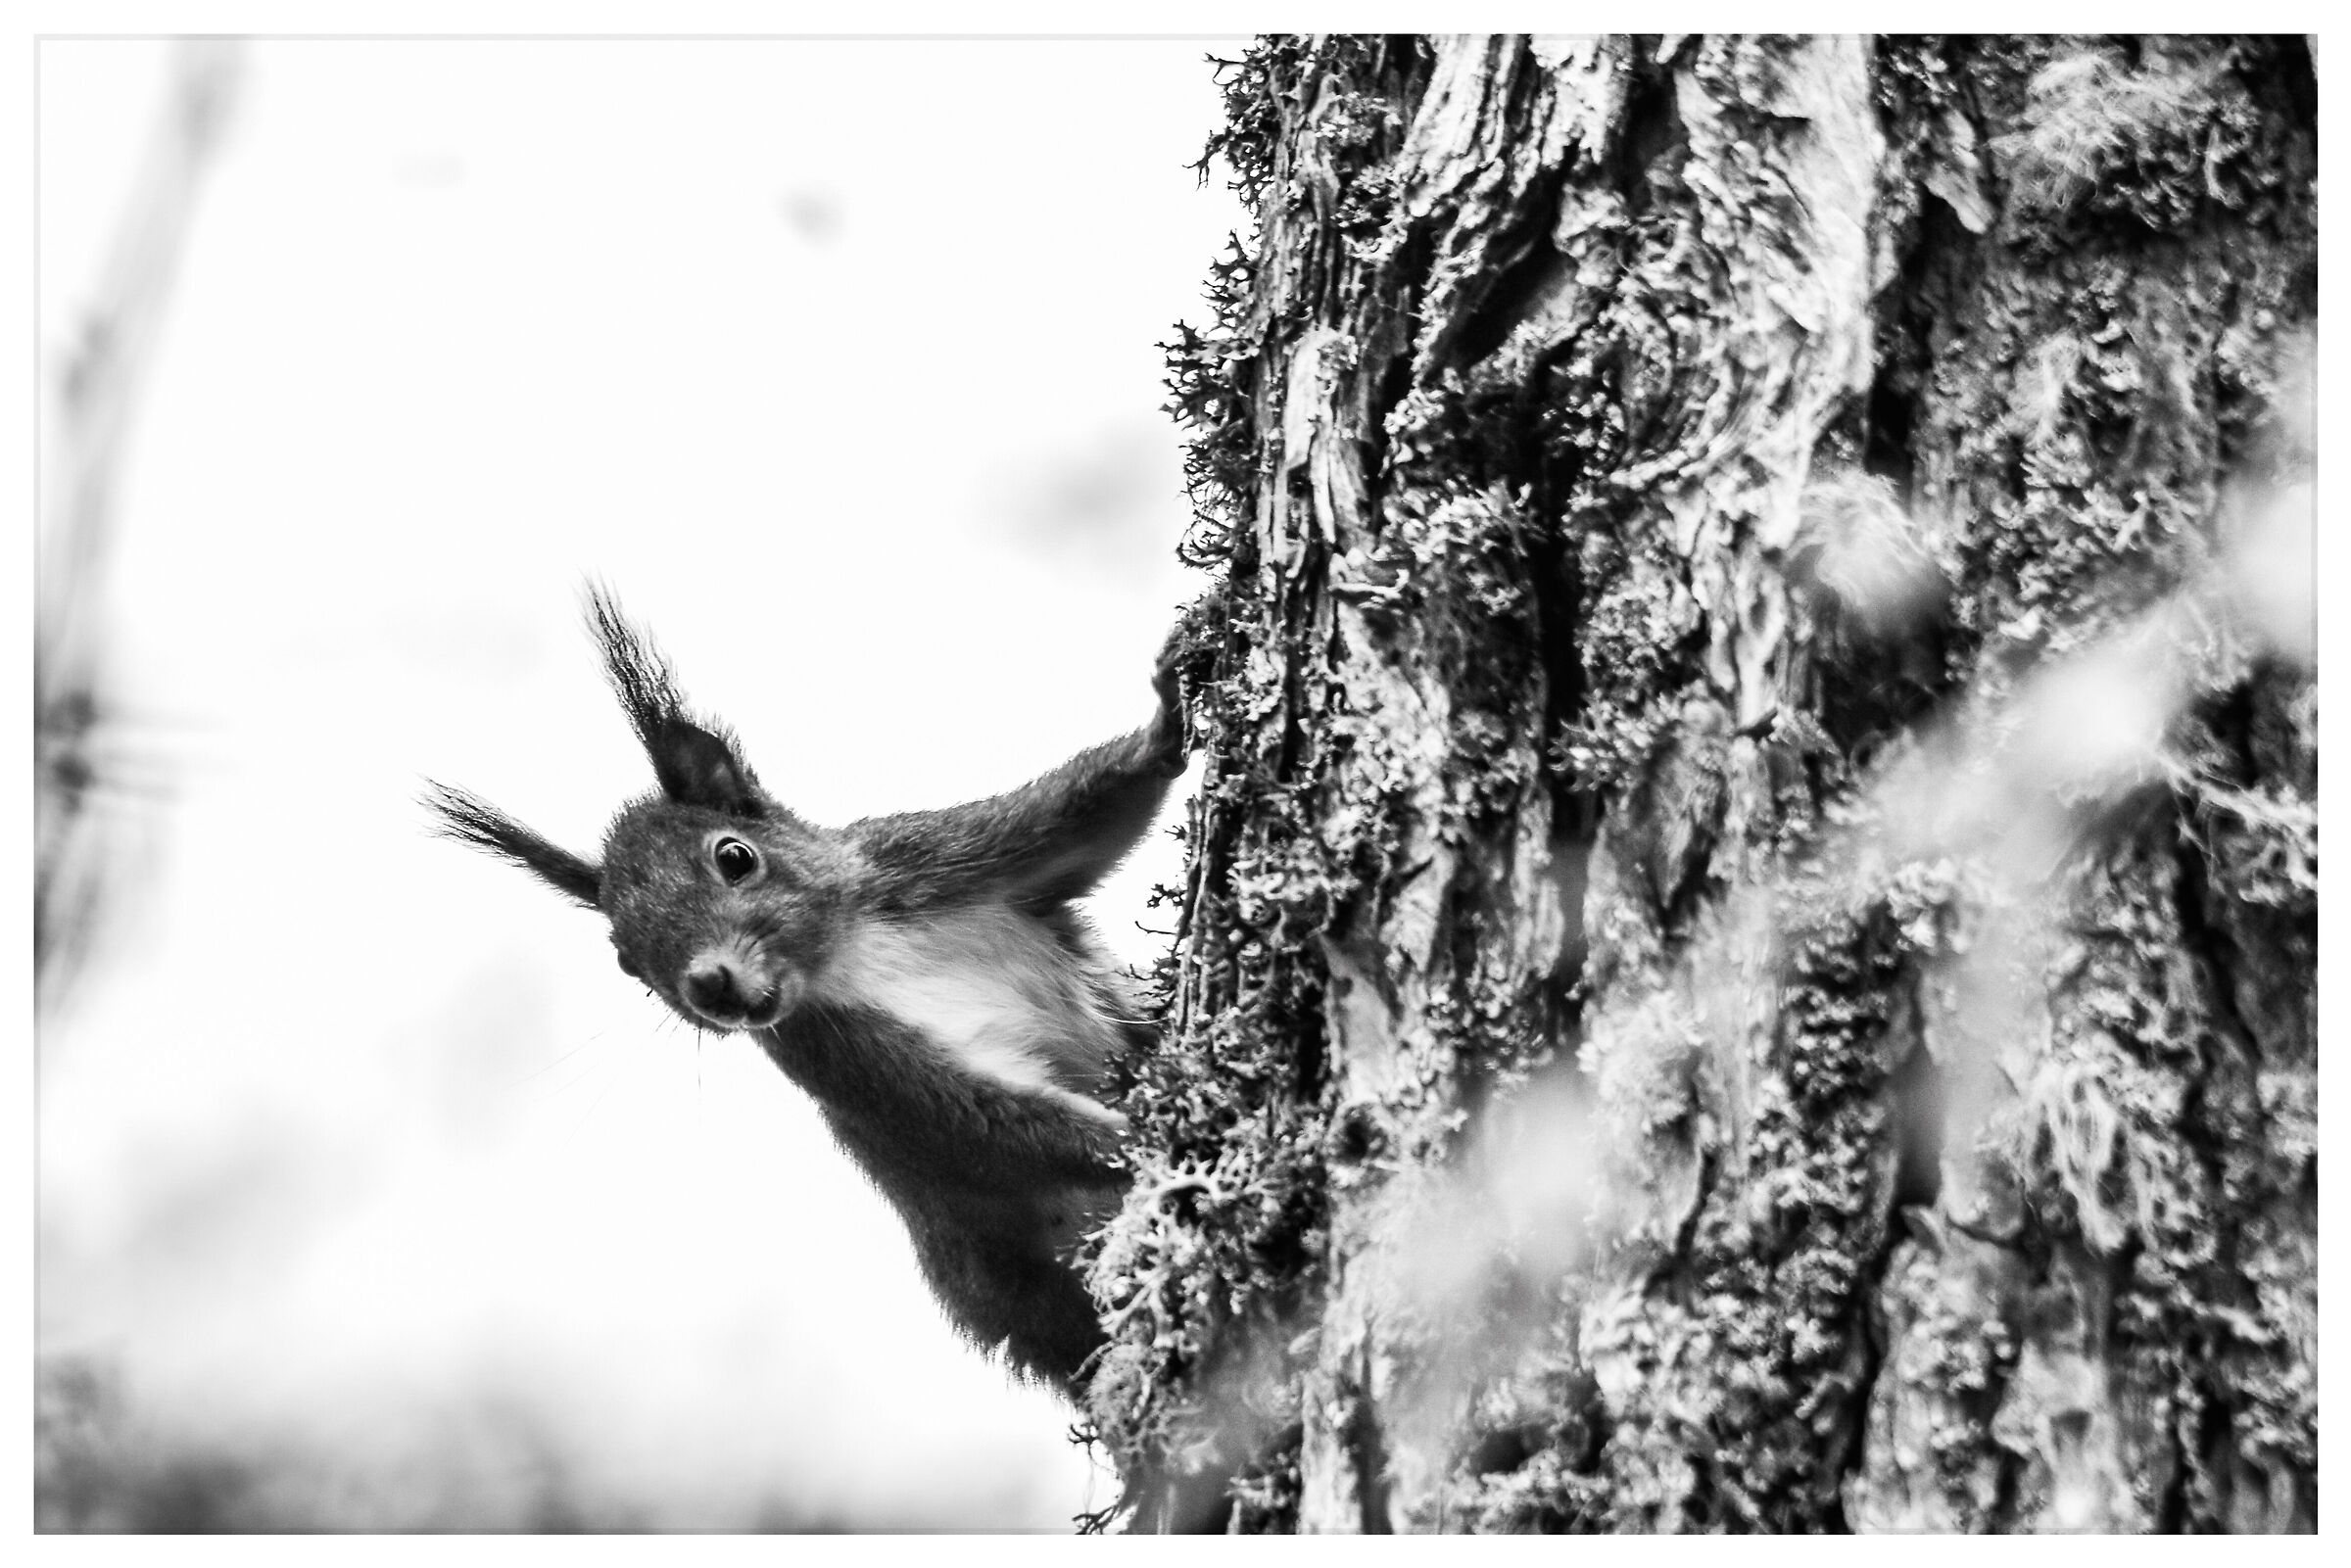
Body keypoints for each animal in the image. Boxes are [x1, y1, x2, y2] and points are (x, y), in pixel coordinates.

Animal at [425, 587, 1191, 1395]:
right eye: (627, 962)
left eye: (735, 856)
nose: (709, 986)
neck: (847, 953)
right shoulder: (848, 1057)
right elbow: (992, 1123)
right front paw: (1146, 1135)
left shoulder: (926, 855)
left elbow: (1084, 813)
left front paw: (1165, 722)